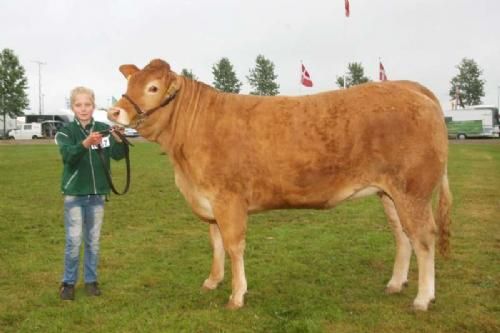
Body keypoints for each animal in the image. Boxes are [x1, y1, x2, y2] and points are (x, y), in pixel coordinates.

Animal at [109, 58, 454, 310]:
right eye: (128, 84)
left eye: (153, 87)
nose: (114, 111)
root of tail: (410, 87)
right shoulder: (209, 202)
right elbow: (216, 243)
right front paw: (212, 281)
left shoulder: (228, 200)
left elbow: (233, 246)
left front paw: (237, 295)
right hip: (389, 192)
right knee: (402, 235)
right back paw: (395, 284)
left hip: (412, 190)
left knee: (424, 237)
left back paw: (423, 298)